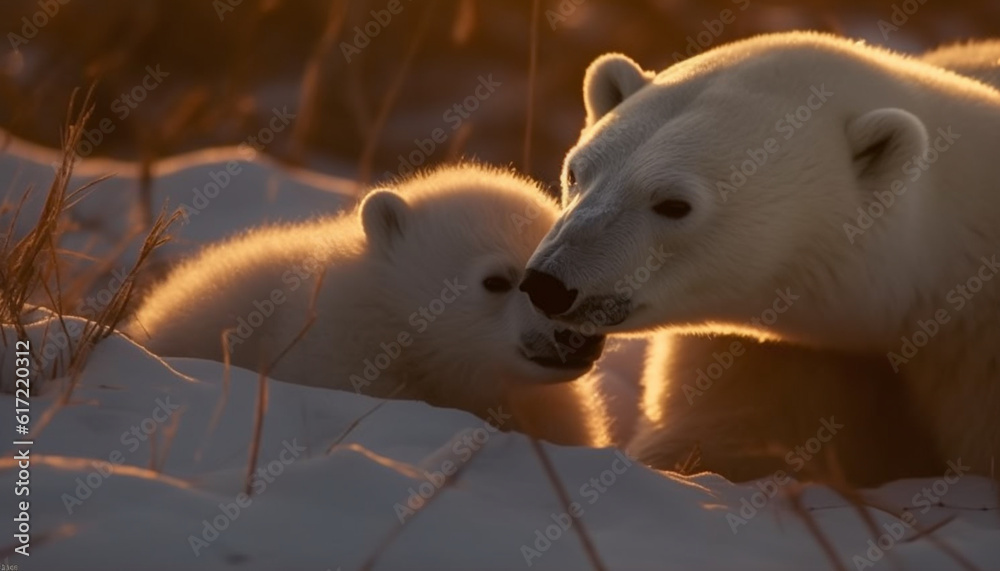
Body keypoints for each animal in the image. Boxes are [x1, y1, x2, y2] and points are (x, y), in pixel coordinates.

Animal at [524, 32, 1000, 488]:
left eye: (674, 204)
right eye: (575, 172)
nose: (548, 283)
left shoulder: (977, 346)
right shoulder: (774, 354)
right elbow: (730, 430)